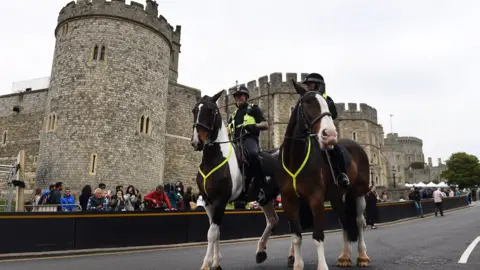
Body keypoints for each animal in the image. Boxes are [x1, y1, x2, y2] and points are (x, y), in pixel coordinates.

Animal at [191, 90, 282, 270]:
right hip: (266, 198)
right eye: (194, 110)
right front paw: (216, 262)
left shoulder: (220, 200)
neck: (214, 159)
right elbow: (216, 232)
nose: (197, 141)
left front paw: (207, 264)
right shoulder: (207, 201)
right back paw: (261, 251)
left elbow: (212, 233)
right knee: (273, 220)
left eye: (210, 110)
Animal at [274, 83, 372, 268]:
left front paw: (322, 266)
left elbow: (318, 236)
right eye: (307, 102)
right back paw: (344, 256)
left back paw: (362, 256)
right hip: (336, 197)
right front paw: (297, 265)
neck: (295, 159)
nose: (331, 135)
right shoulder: (289, 200)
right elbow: (296, 237)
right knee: (344, 220)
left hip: (358, 193)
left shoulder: (316, 198)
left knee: (358, 221)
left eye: (328, 104)